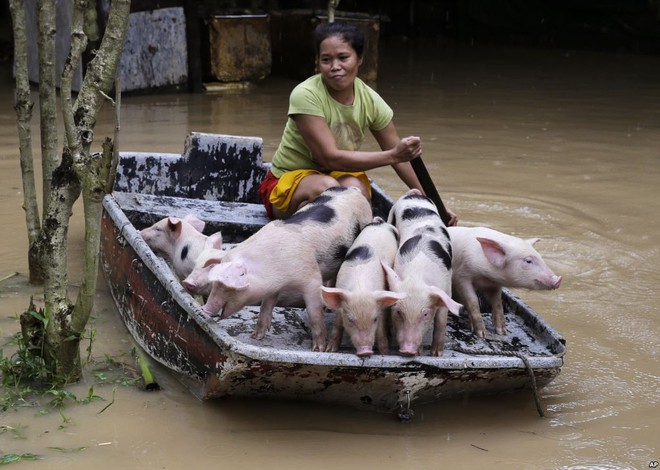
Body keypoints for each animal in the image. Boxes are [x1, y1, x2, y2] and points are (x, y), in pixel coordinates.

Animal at [183, 185, 374, 350]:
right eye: (214, 283)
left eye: (224, 285)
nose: (204, 309)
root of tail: (353, 190)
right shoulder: (272, 287)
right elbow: (266, 306)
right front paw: (255, 337)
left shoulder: (311, 278)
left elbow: (314, 313)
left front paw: (319, 349)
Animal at [320, 217, 408, 356]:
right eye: (350, 320)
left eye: (374, 319)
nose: (365, 351)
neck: (361, 287)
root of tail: (381, 223)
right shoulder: (341, 304)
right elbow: (337, 325)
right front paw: (330, 350)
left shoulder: (380, 306)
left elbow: (381, 331)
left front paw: (385, 353)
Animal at [384, 188, 462, 356]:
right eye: (398, 312)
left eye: (425, 314)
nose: (407, 350)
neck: (417, 277)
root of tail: (413, 196)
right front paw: (420, 353)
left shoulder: (446, 288)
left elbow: (440, 321)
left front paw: (436, 354)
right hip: (392, 213)